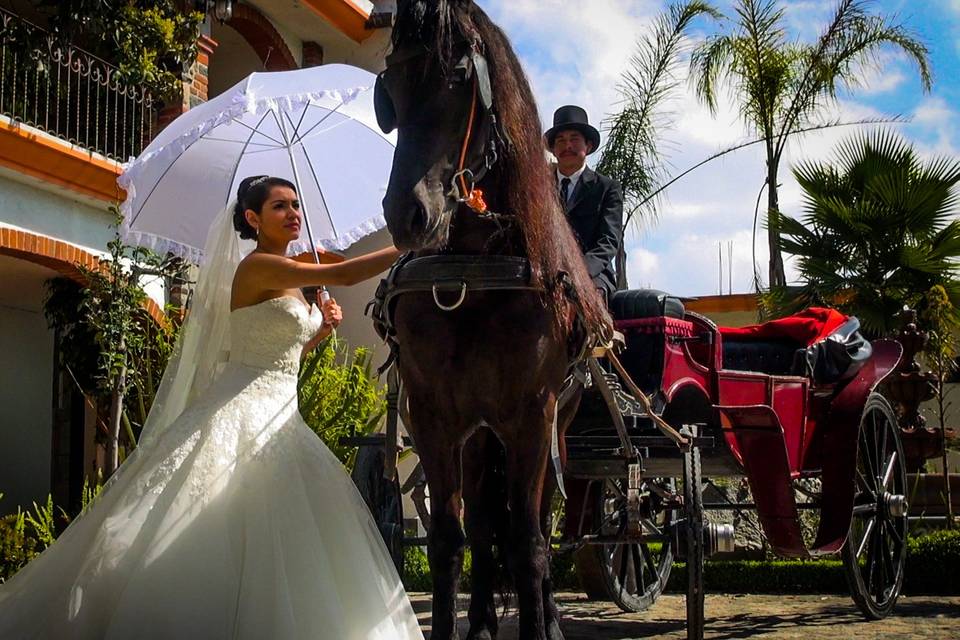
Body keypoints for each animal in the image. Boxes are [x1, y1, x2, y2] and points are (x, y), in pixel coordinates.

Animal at [374, 2, 608, 636]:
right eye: (391, 86)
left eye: (459, 80)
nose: (407, 214)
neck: (473, 271)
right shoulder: (432, 416)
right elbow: (449, 541)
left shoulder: (532, 417)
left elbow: (528, 544)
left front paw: (539, 622)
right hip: (479, 434)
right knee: (482, 526)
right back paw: (479, 619)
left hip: (558, 427)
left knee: (541, 528)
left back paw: (549, 616)